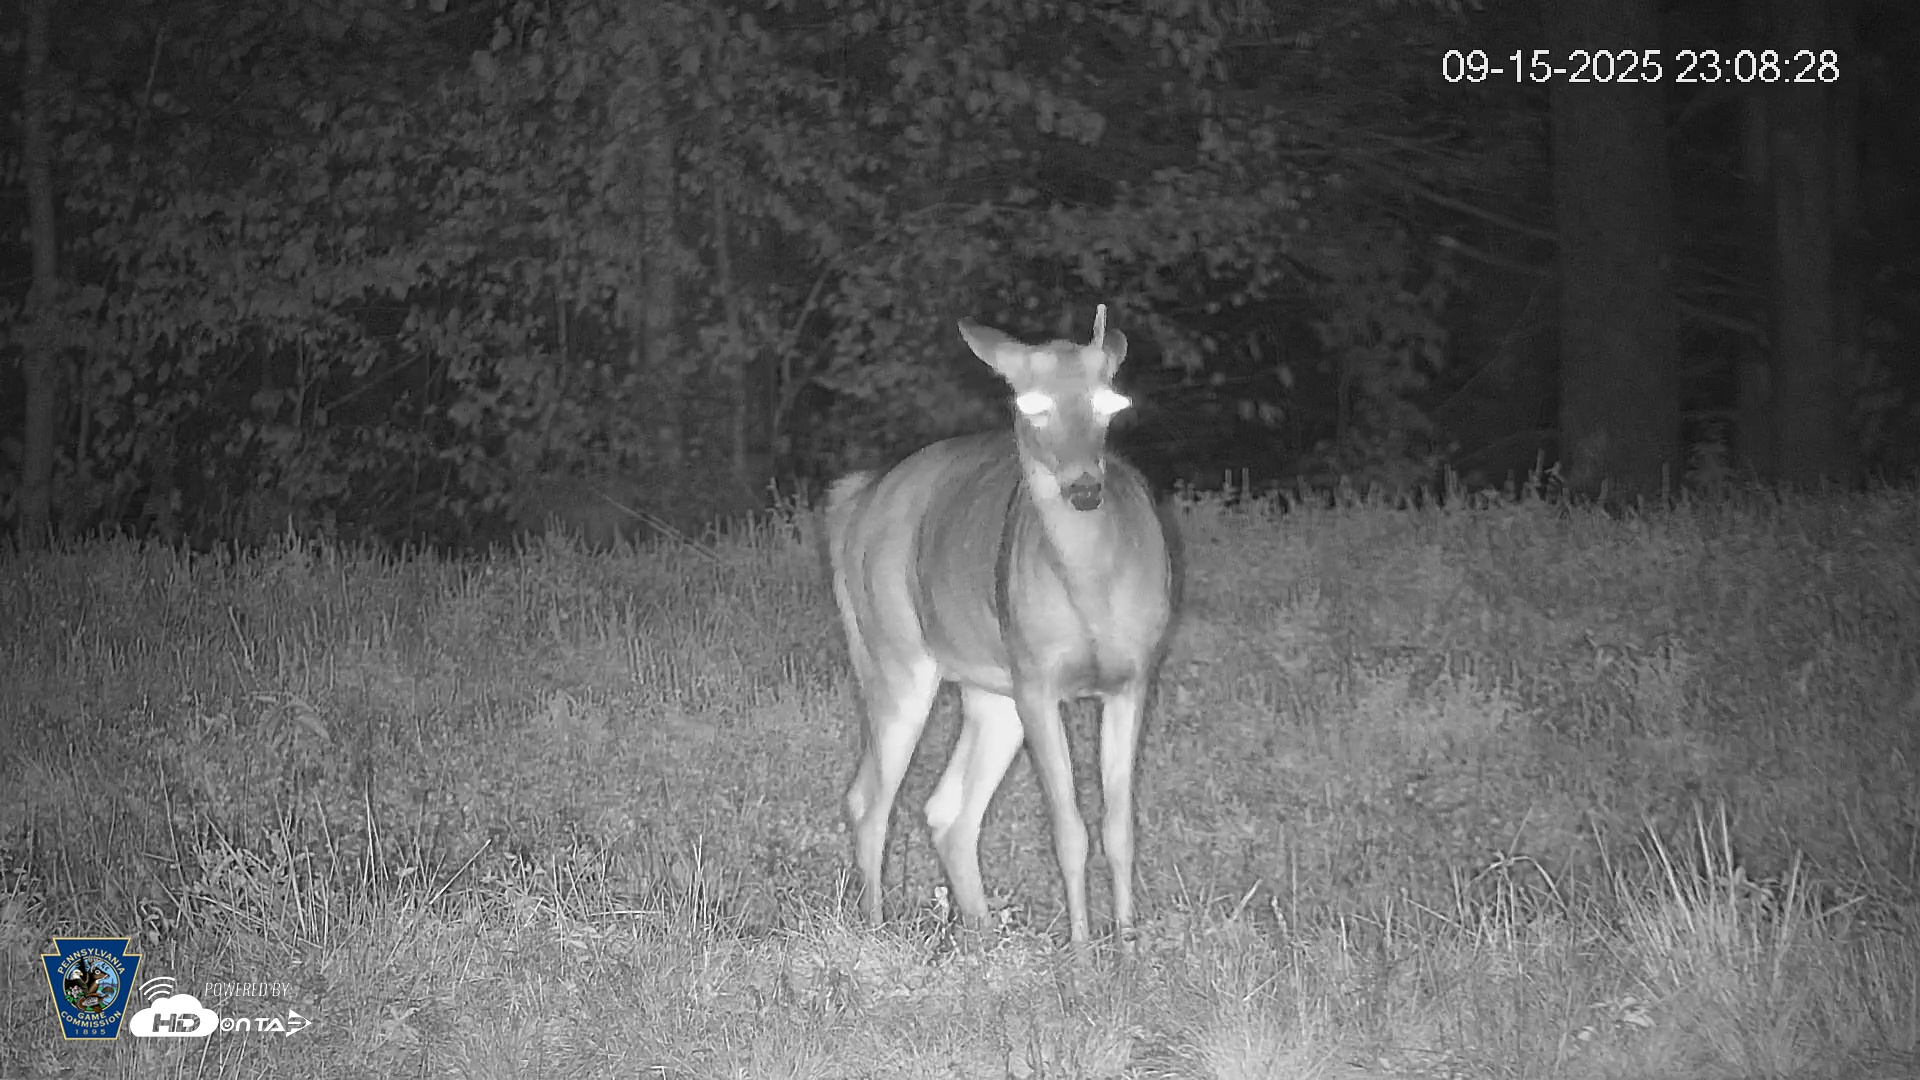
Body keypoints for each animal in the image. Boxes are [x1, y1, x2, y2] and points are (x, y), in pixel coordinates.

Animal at [823, 306, 1175, 946]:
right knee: (869, 798)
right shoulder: (1038, 681)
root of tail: (856, 500)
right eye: (1031, 404)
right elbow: (1069, 830)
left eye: (1109, 402)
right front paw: (1082, 953)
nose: (1084, 487)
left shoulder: (1133, 678)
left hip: (992, 687)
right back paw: (877, 929)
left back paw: (983, 937)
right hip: (897, 655)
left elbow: (1119, 827)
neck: (1092, 591)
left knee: (946, 810)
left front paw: (1129, 946)